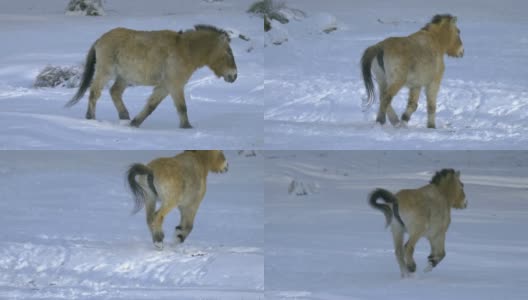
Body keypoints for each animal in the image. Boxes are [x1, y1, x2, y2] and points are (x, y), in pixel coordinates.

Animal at [65, 25, 237, 128]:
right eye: (228, 51)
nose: (234, 75)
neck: (185, 50)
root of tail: (100, 39)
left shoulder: (165, 87)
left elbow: (151, 106)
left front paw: (135, 123)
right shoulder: (175, 85)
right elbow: (182, 107)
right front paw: (187, 127)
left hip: (123, 77)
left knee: (114, 92)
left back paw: (125, 117)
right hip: (105, 72)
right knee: (95, 93)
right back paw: (91, 118)